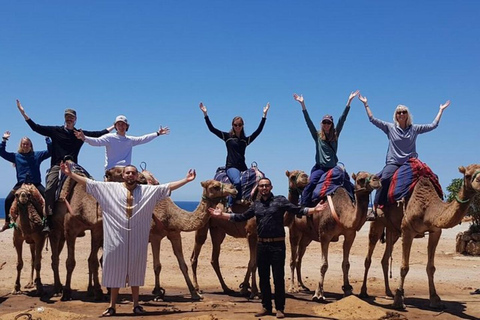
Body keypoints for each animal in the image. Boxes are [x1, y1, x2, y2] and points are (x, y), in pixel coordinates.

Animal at [284, 171, 378, 302]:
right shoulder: (325, 235)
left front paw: (347, 290)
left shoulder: (350, 235)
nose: (377, 179)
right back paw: (293, 288)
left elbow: (346, 264)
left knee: (299, 258)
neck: (342, 214)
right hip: (294, 231)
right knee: (293, 259)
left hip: (307, 237)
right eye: (361, 179)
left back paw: (302, 286)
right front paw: (318, 294)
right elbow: (324, 265)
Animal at [392, 164, 480, 308]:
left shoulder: (436, 231)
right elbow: (404, 267)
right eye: (467, 175)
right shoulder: (407, 229)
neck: (427, 209)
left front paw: (435, 299)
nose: (479, 182)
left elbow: (431, 267)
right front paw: (398, 300)